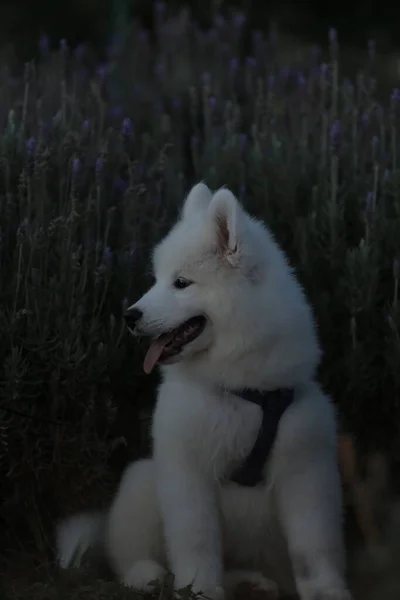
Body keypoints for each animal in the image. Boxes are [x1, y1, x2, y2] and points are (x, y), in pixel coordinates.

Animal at [57, 183, 352, 600]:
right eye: (156, 279)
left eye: (181, 283)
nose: (130, 316)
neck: (244, 388)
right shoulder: (187, 468)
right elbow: (196, 539)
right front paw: (199, 589)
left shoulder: (305, 467)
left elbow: (314, 545)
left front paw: (327, 591)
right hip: (142, 483)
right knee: (128, 557)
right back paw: (149, 575)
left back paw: (250, 581)